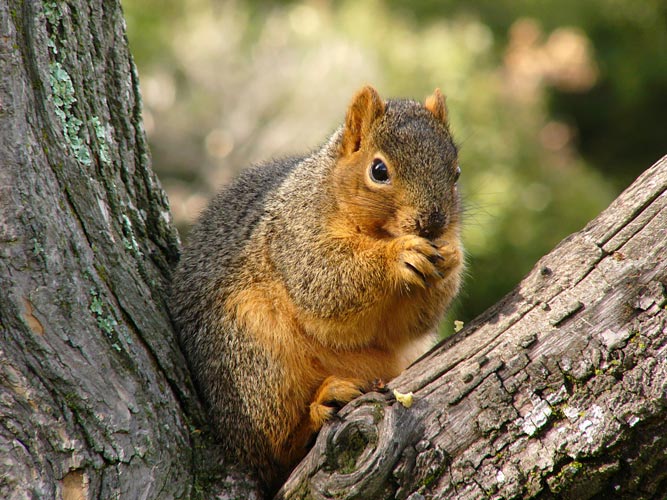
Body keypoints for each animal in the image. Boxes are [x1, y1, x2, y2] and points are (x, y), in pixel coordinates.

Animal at [170, 85, 468, 492]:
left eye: (456, 172)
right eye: (379, 171)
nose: (433, 224)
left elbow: (402, 328)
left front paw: (451, 259)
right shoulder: (296, 236)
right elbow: (326, 284)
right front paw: (398, 257)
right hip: (255, 360)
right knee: (277, 449)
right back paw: (322, 407)